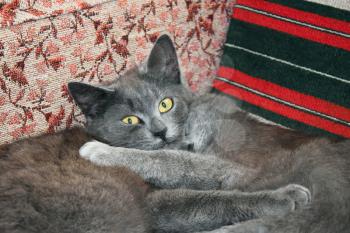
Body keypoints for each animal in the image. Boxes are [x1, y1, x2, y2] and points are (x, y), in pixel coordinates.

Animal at [69, 35, 350, 233]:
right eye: (130, 119)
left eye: (165, 104)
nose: (161, 131)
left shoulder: (236, 167)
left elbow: (175, 161)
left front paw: (99, 150)